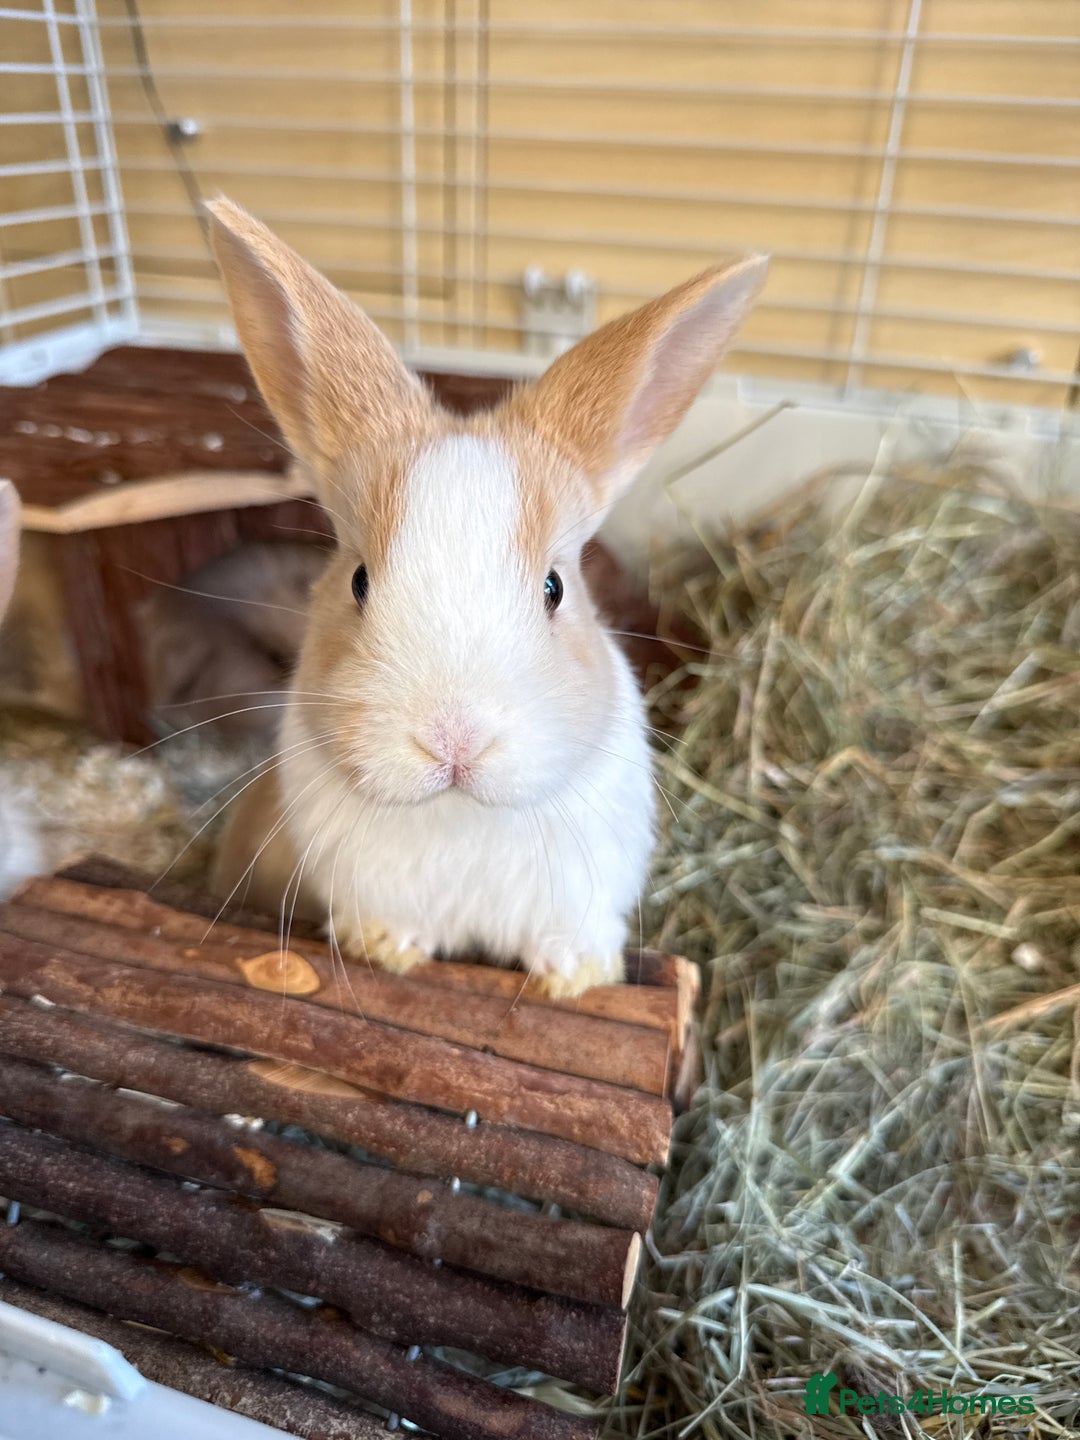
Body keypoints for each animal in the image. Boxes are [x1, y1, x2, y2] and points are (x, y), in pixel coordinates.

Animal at [207, 197, 767, 996]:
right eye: (358, 579)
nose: (454, 740)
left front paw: (577, 976)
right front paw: (386, 949)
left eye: (555, 587)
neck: (461, 810)